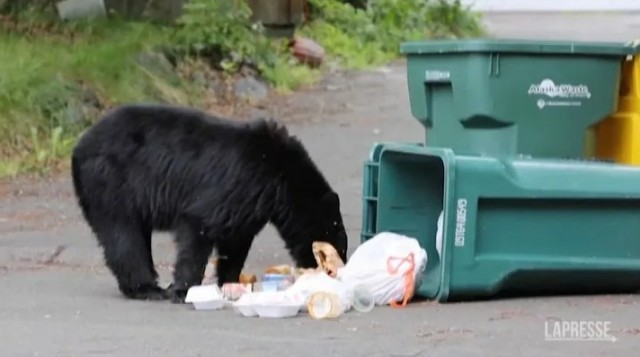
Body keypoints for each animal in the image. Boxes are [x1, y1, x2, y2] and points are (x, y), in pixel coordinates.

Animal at [70, 102, 348, 300]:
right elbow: (199, 227)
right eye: (339, 247)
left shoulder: (249, 204)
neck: (279, 178)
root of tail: (78, 147)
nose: (337, 271)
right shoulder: (236, 184)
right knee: (124, 236)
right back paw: (147, 288)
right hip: (113, 183)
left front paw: (230, 282)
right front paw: (183, 289)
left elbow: (236, 241)